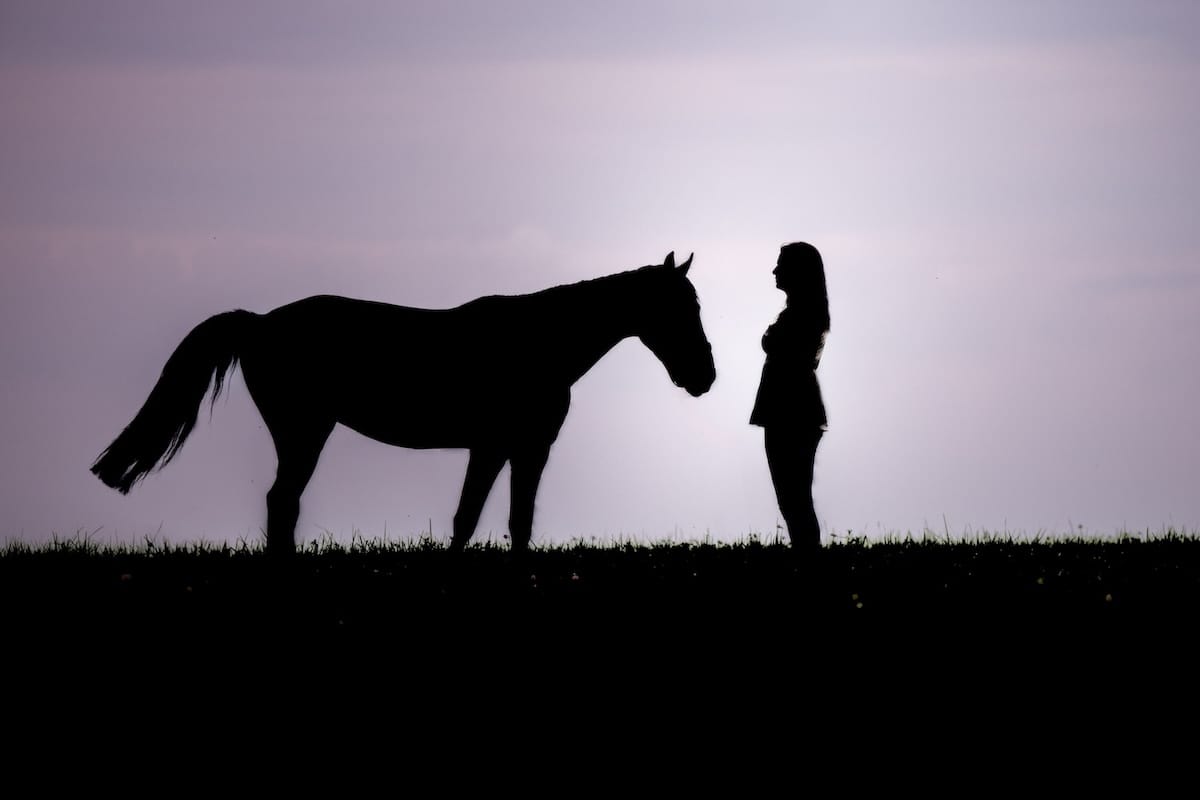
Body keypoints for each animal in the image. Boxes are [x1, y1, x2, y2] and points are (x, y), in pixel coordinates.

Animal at [92, 251, 716, 555]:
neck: (539, 342)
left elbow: (506, 520)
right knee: (281, 501)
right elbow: (475, 517)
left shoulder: (518, 449)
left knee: (283, 503)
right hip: (304, 432)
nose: (704, 376)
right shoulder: (500, 446)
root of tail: (260, 322)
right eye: (681, 306)